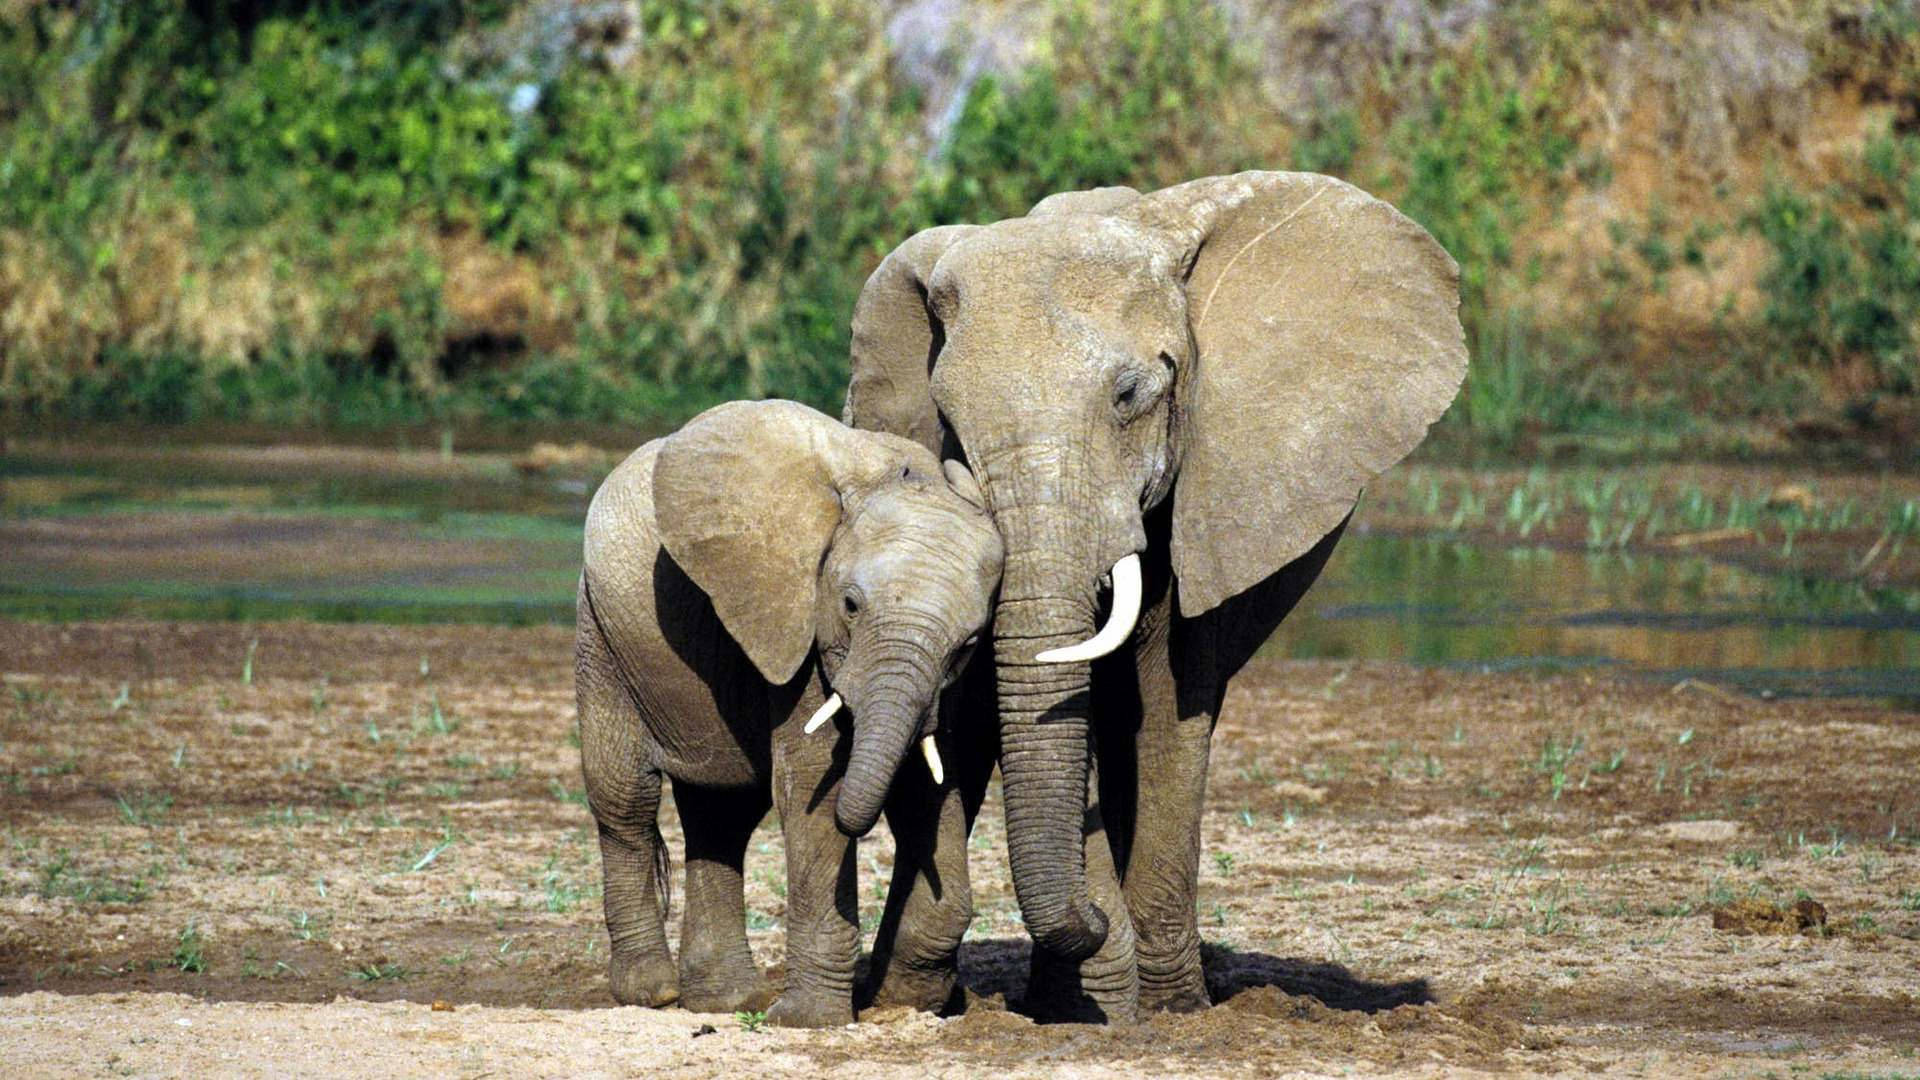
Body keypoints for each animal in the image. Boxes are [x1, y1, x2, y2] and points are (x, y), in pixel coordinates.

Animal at [572, 397, 1006, 1022]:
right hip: (602, 636)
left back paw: (724, 1001)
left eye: (970, 642)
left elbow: (929, 784)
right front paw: (810, 1022)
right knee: (625, 801)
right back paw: (655, 993)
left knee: (721, 816)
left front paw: (905, 1003)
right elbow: (811, 784)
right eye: (849, 605)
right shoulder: (797, 622)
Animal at [844, 170, 1466, 1014]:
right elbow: (984, 702)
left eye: (1130, 396)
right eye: (948, 421)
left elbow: (1171, 700)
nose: (1090, 917)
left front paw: (1167, 1010)